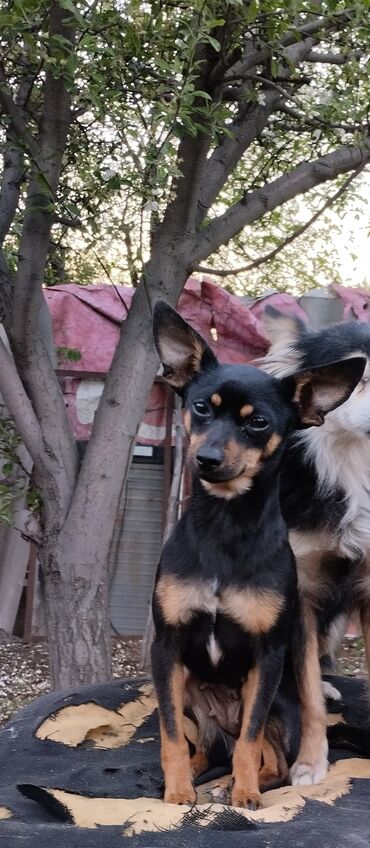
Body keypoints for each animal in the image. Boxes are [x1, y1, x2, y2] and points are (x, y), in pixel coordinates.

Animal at [150, 304, 364, 808]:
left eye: (259, 422)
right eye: (201, 407)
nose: (206, 459)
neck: (225, 526)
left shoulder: (267, 658)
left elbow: (250, 742)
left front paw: (245, 794)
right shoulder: (166, 649)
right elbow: (170, 735)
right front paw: (176, 792)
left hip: (273, 701)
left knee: (267, 754)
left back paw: (237, 783)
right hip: (189, 690)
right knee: (204, 747)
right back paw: (195, 776)